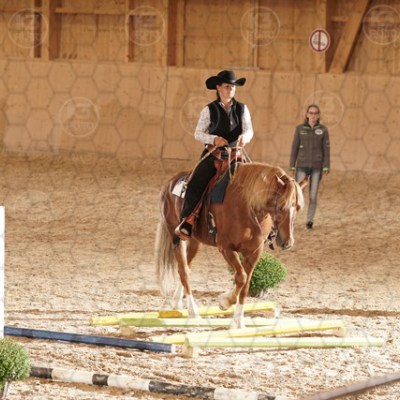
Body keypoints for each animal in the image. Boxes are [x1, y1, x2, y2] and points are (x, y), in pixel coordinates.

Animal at [155, 162, 307, 328]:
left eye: (298, 207)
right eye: (280, 206)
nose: (287, 242)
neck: (247, 205)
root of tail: (170, 183)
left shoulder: (254, 252)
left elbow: (246, 285)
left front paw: (238, 321)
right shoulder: (226, 248)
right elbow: (241, 277)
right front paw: (224, 302)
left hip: (195, 242)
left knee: (186, 268)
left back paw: (177, 302)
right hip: (176, 237)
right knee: (183, 271)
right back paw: (194, 312)